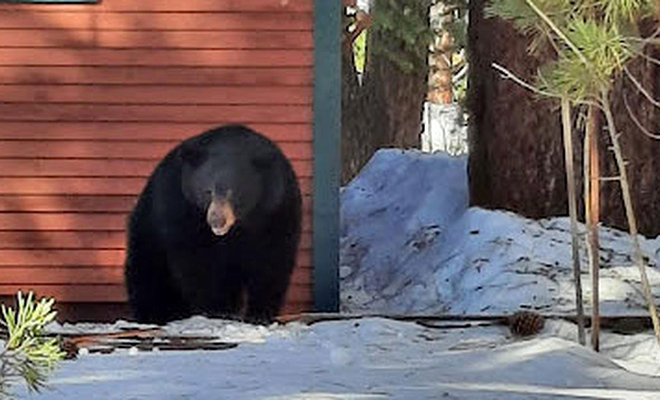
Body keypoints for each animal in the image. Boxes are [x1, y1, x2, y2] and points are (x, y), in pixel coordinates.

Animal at [124, 125, 302, 324]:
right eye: (207, 191)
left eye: (232, 192)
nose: (217, 220)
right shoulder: (182, 205)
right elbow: (197, 259)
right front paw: (216, 310)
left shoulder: (277, 208)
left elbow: (273, 258)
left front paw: (260, 314)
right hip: (148, 231)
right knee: (147, 274)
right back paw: (157, 313)